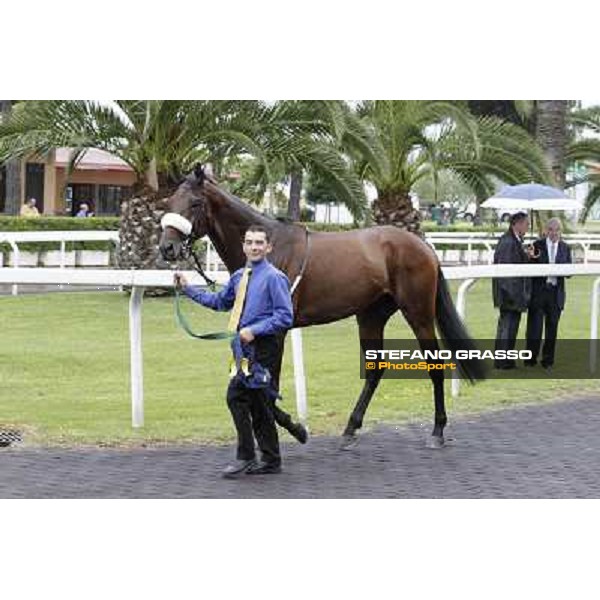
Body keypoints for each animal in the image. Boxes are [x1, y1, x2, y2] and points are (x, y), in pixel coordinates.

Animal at [158, 166, 482, 448]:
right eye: (169, 202)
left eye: (195, 202)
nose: (167, 248)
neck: (269, 248)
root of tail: (423, 245)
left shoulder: (277, 331)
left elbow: (269, 387)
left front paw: (297, 429)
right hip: (370, 316)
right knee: (374, 369)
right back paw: (351, 428)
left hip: (418, 313)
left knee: (435, 364)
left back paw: (438, 430)